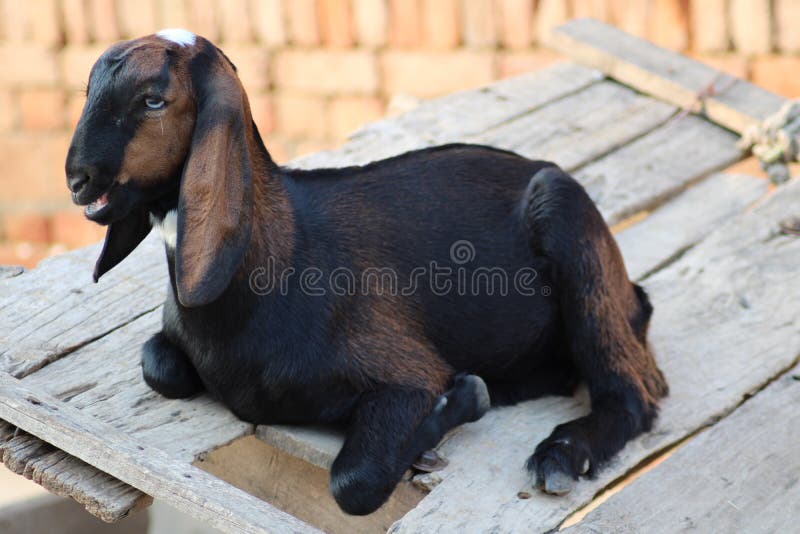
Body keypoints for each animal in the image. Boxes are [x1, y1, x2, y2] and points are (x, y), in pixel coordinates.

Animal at [65, 29, 668, 515]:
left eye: (153, 100)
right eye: (88, 88)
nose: (77, 179)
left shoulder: (404, 370)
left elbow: (355, 480)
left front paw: (460, 400)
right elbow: (157, 363)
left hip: (573, 234)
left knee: (632, 393)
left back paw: (562, 455)